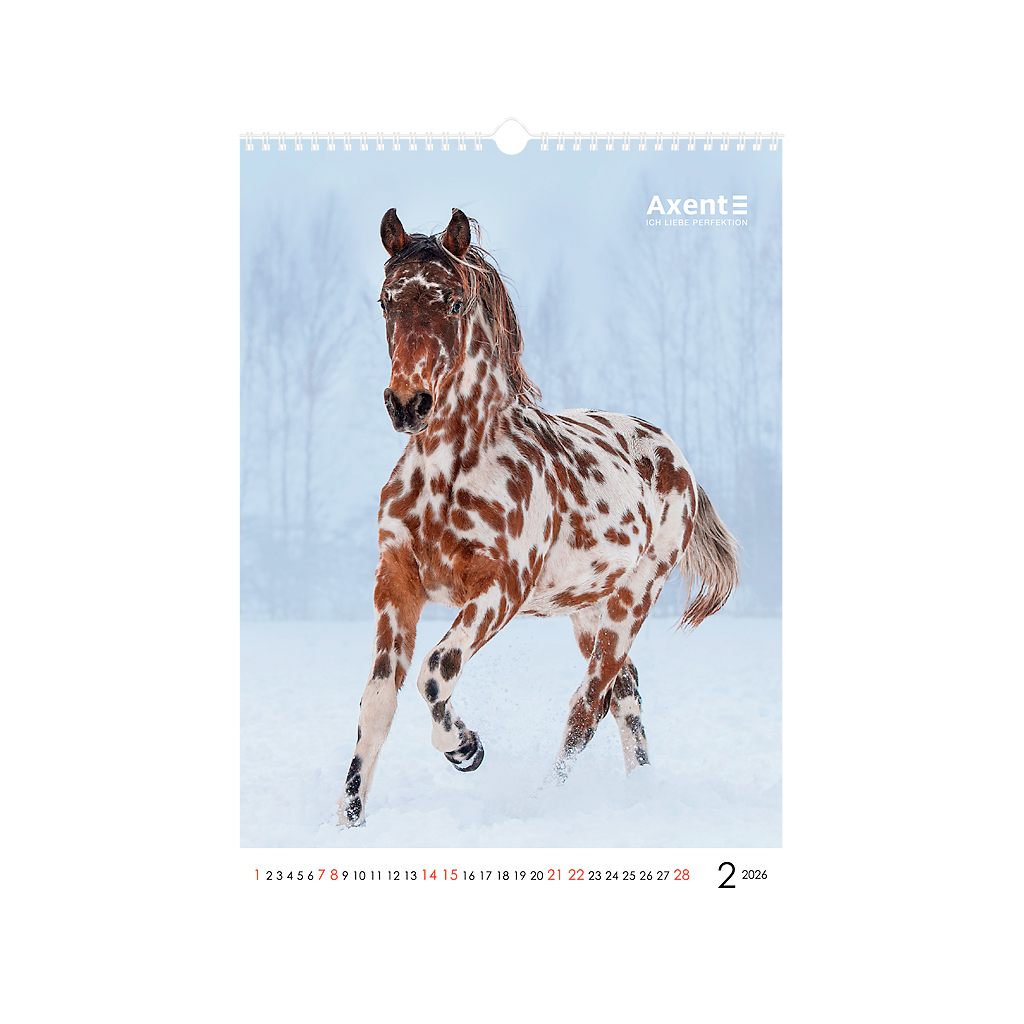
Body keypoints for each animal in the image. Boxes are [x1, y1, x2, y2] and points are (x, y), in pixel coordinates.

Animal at [339, 207, 739, 827]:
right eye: (386, 300)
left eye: (455, 302)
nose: (408, 403)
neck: (448, 475)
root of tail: (677, 457)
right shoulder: (396, 583)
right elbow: (378, 703)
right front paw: (349, 819)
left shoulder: (500, 589)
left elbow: (436, 672)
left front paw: (466, 747)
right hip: (588, 612)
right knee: (624, 694)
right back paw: (638, 790)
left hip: (630, 604)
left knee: (587, 707)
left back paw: (540, 803)